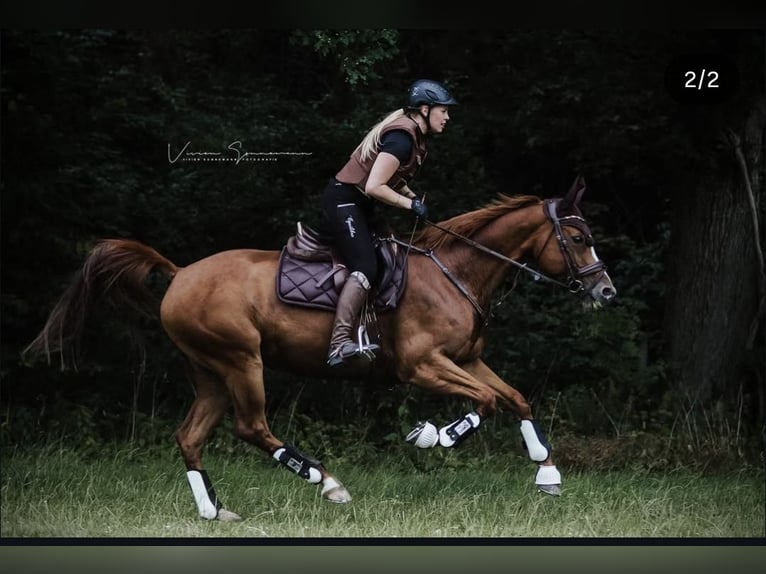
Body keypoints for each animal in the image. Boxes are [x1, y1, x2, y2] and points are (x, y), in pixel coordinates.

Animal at [23, 176, 616, 521]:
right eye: (579, 238)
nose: (606, 292)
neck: (457, 273)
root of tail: (180, 272)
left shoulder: (466, 359)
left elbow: (515, 398)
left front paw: (546, 472)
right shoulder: (423, 365)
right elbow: (486, 403)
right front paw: (431, 436)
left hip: (210, 371)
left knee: (190, 437)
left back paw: (216, 512)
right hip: (241, 361)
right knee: (251, 427)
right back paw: (325, 482)